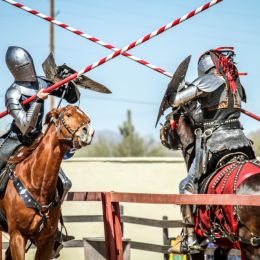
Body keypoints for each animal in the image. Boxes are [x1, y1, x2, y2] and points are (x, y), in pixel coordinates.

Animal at [0, 105, 93, 260]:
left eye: (87, 118)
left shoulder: (46, 241)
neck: (37, 185)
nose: (89, 132)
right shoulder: (17, 236)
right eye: (68, 114)